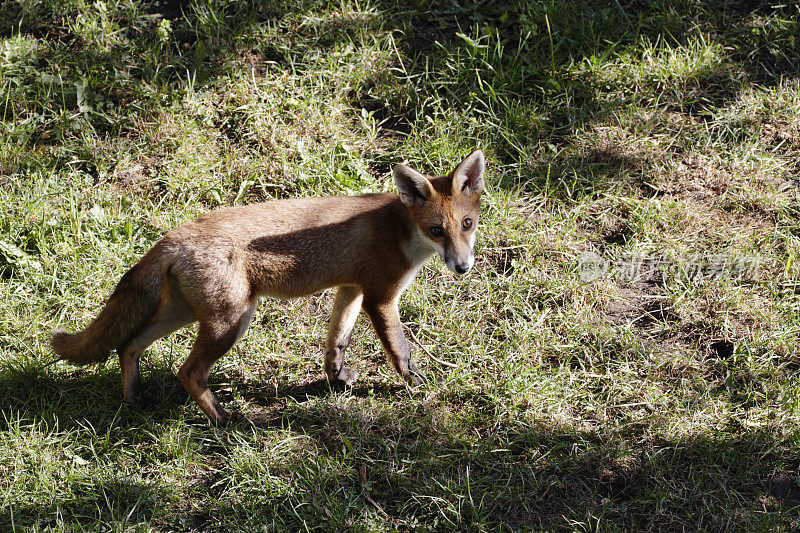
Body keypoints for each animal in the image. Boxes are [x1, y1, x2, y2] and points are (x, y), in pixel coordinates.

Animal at [53, 149, 488, 424]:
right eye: (436, 230)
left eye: (467, 225)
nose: (463, 267)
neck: (400, 231)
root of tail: (174, 236)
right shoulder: (381, 297)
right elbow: (400, 351)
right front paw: (417, 386)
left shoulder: (351, 289)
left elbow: (336, 342)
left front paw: (336, 380)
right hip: (231, 323)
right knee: (187, 372)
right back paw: (225, 420)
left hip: (186, 313)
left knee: (128, 345)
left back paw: (133, 400)